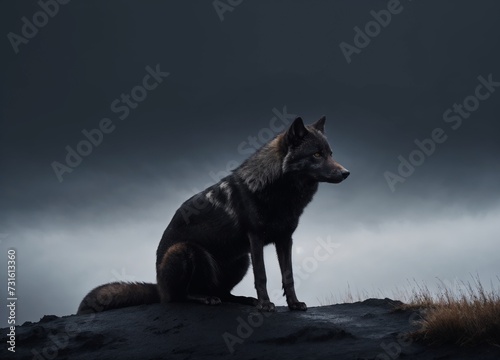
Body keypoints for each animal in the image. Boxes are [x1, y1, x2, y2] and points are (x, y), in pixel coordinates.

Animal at [78, 116, 350, 314]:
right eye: (316, 154)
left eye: (331, 153)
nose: (346, 173)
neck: (281, 193)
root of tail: (159, 287)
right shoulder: (256, 239)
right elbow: (262, 276)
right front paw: (265, 305)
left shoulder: (285, 239)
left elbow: (289, 276)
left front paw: (294, 304)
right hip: (186, 251)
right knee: (181, 297)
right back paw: (205, 298)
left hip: (240, 260)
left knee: (224, 294)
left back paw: (242, 299)